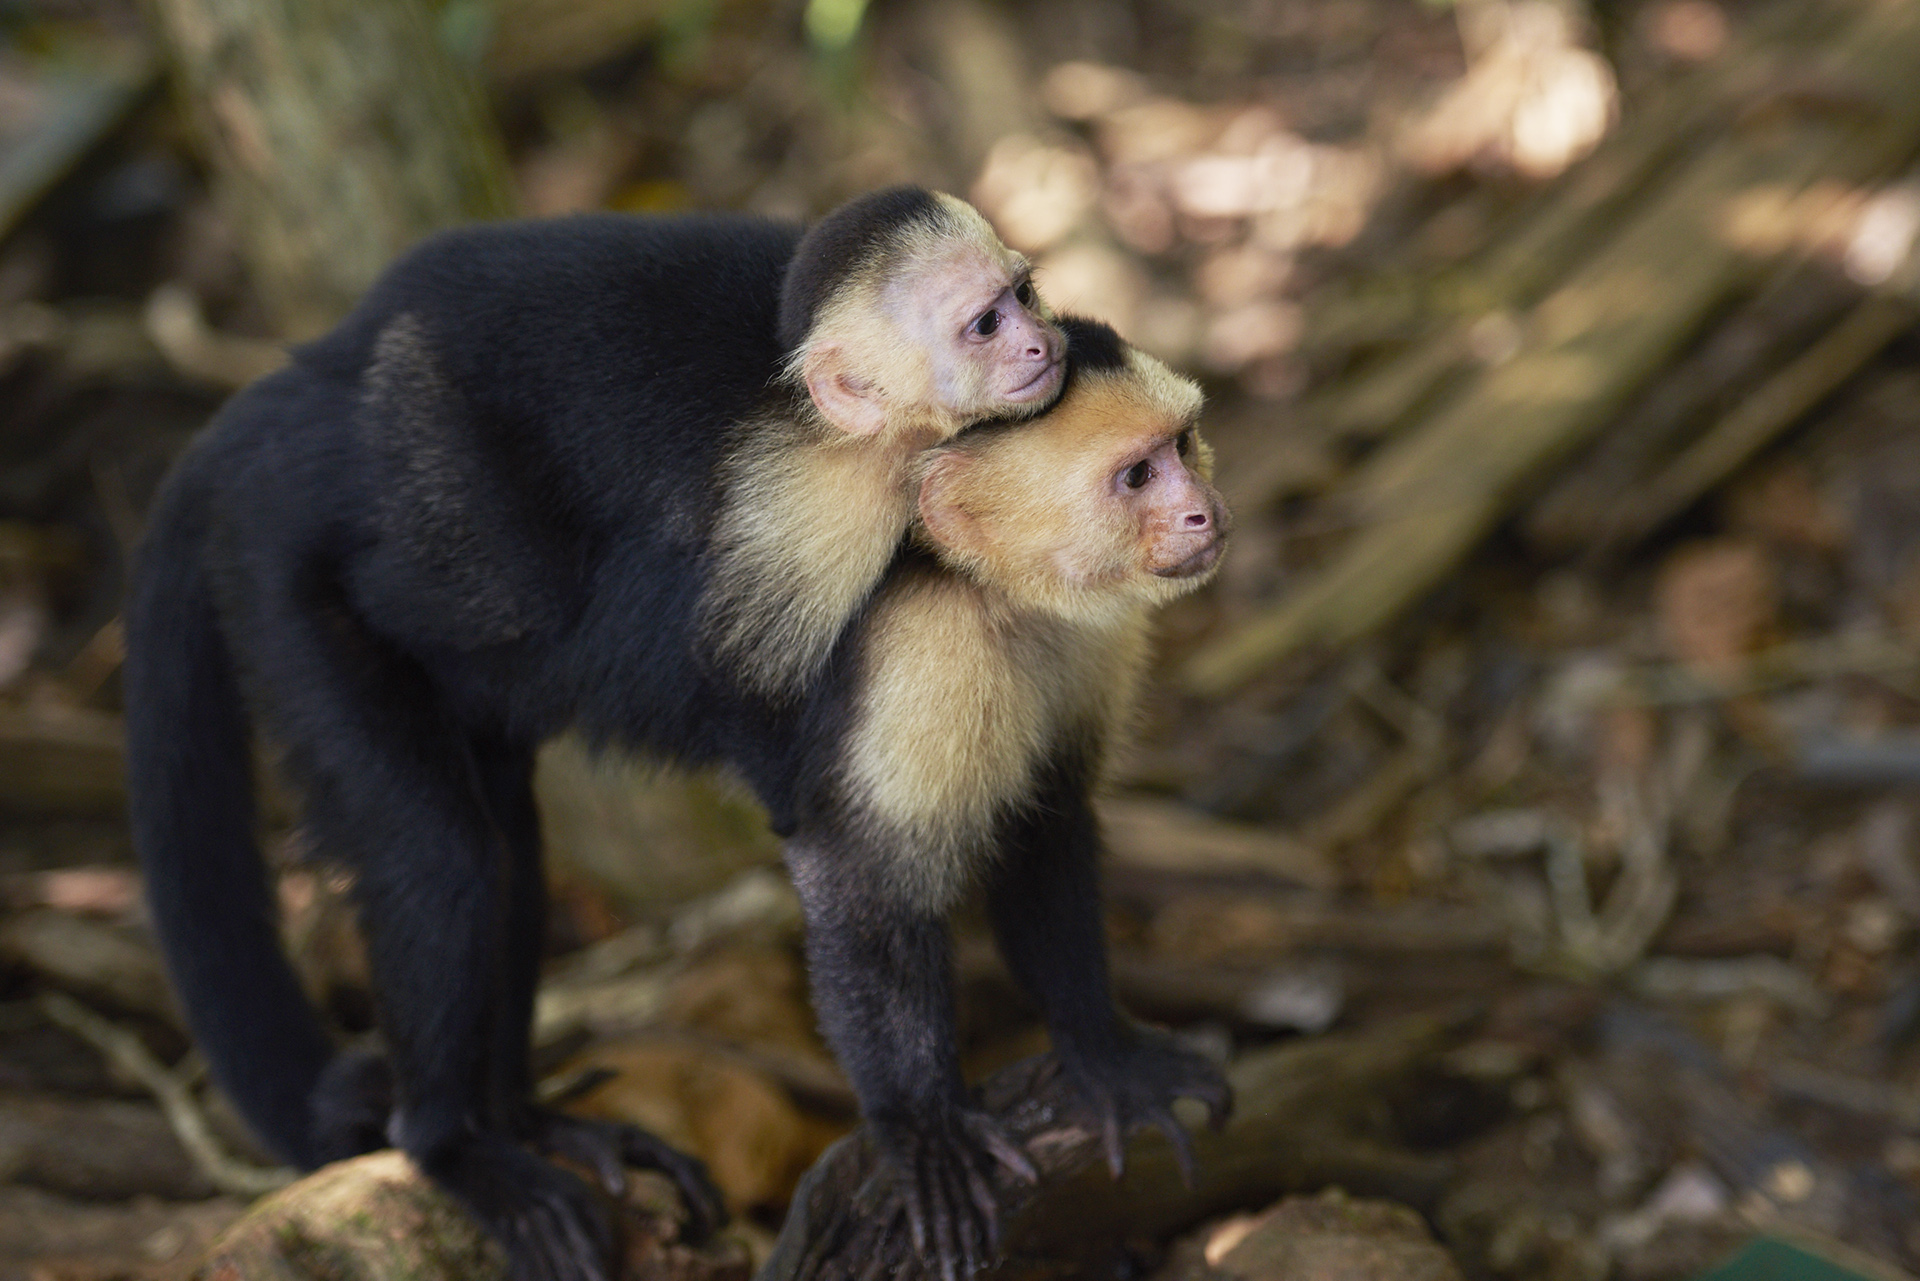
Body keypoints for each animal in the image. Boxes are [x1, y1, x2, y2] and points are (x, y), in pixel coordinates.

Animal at [127, 185, 1067, 1281]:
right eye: (982, 324)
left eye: (1023, 292)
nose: (1042, 341)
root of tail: (281, 400)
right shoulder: (803, 514)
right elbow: (765, 733)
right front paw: (922, 1125)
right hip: (286, 586)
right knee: (439, 846)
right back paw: (448, 1146)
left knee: (507, 843)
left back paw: (520, 1118)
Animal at [802, 313, 1236, 1281]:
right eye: (1138, 476)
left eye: (1183, 443)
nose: (1206, 510)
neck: (991, 593)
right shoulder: (925, 652)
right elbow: (864, 889)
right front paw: (926, 1134)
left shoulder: (1085, 637)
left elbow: (1046, 825)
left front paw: (1104, 1054)